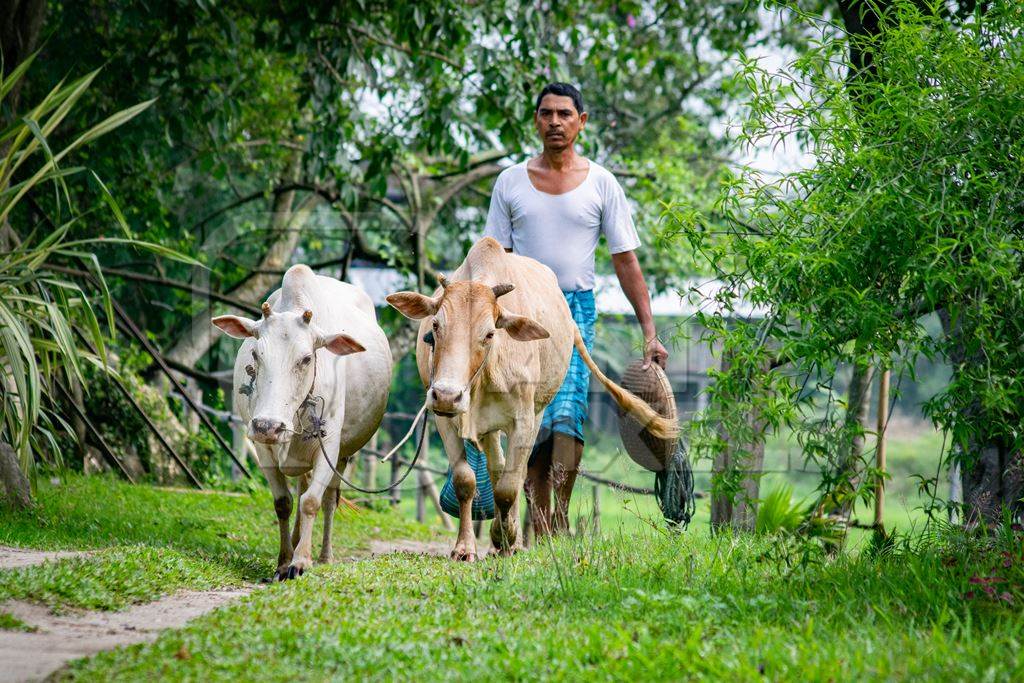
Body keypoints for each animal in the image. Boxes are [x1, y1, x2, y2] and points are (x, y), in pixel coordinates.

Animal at [209, 264, 389, 581]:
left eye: (306, 358)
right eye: (256, 353)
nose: (269, 425)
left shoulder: (329, 446)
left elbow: (311, 502)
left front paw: (302, 561)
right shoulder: (262, 447)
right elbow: (284, 503)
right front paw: (284, 561)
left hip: (342, 456)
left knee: (329, 499)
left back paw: (324, 556)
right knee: (300, 487)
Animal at [387, 237, 675, 557]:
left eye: (490, 334)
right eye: (436, 326)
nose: (447, 395)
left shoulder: (523, 420)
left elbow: (509, 487)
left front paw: (507, 537)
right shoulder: (445, 419)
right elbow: (466, 481)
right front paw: (465, 547)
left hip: (540, 411)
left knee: (520, 471)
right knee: (497, 466)